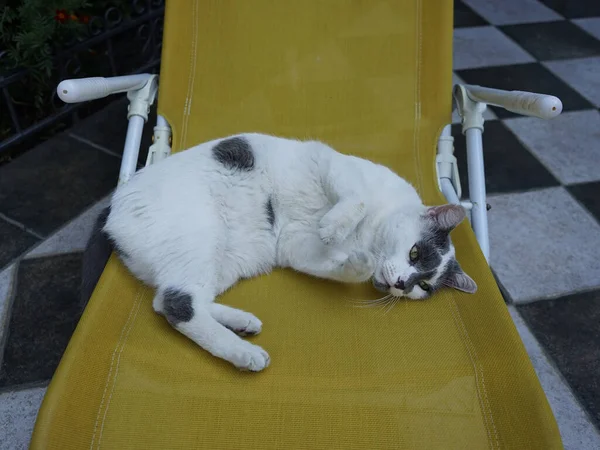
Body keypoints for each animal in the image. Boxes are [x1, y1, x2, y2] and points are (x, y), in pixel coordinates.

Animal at [88, 134, 478, 372]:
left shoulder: (299, 247)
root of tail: (113, 211)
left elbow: (339, 264)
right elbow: (357, 198)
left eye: (423, 287)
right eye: (415, 253)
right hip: (199, 238)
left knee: (172, 300)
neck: (368, 236)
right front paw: (334, 226)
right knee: (176, 304)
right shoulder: (331, 162)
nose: (401, 284)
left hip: (223, 261)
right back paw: (245, 354)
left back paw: (242, 325)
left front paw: (357, 263)